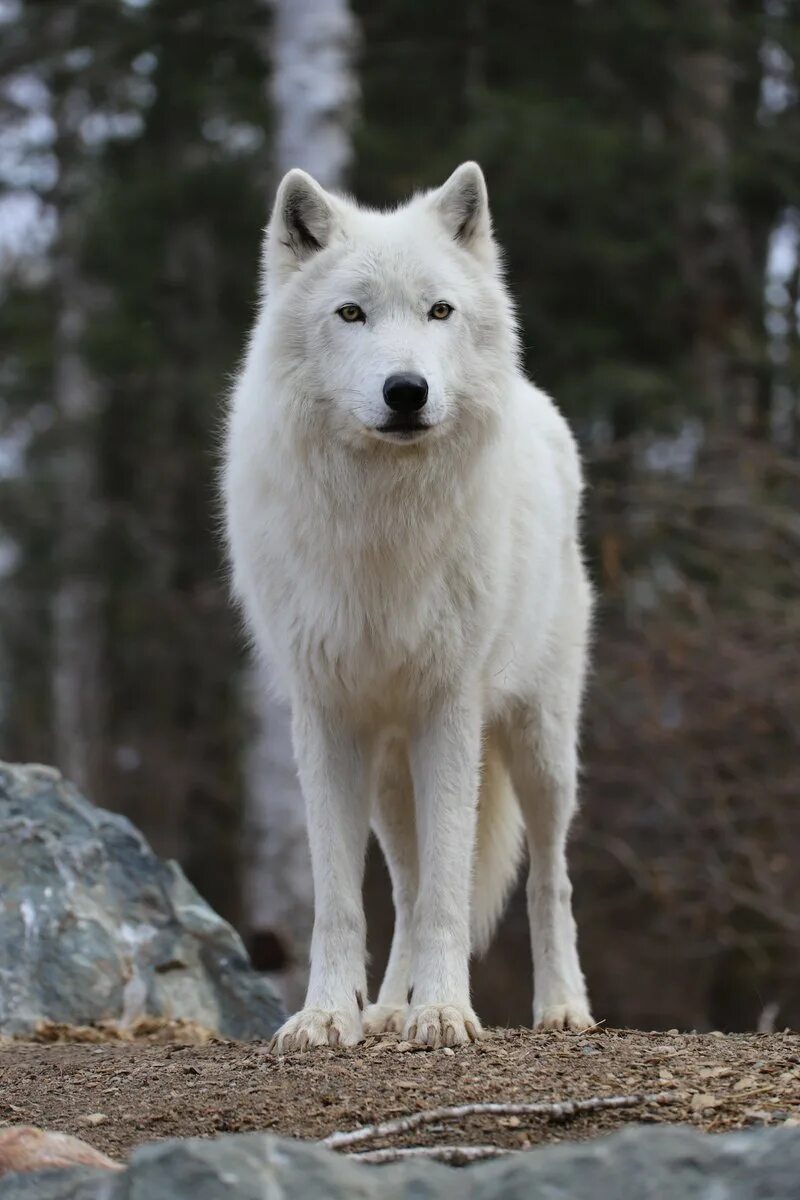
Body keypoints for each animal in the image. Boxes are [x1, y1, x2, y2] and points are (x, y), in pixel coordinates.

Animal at [221, 162, 592, 1051]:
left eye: (439, 311)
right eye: (352, 312)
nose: (406, 391)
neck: (380, 527)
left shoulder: (448, 709)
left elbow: (454, 891)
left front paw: (447, 1013)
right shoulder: (325, 718)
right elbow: (343, 899)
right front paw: (328, 1017)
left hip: (540, 744)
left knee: (547, 878)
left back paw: (562, 1007)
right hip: (390, 775)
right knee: (407, 884)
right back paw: (389, 1007)